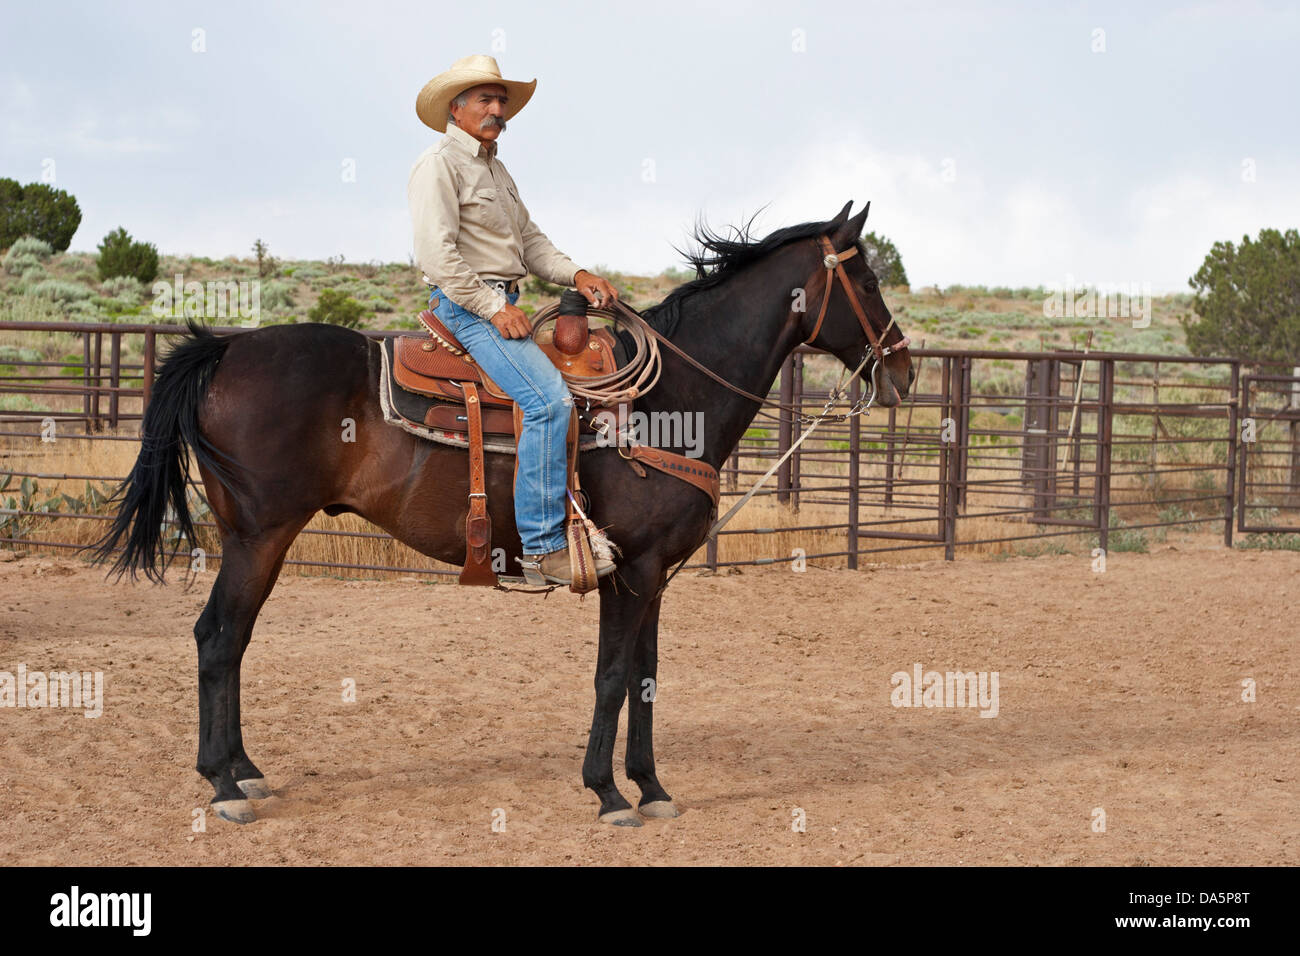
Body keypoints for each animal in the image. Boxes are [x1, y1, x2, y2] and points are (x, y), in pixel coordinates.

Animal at [91, 199, 913, 826]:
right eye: (869, 278)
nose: (904, 366)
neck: (667, 402)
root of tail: (223, 352)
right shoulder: (631, 571)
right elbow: (613, 675)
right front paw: (608, 793)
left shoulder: (655, 576)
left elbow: (646, 675)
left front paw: (652, 787)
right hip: (258, 536)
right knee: (218, 638)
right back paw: (224, 786)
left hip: (258, 539)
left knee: (231, 640)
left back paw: (243, 770)